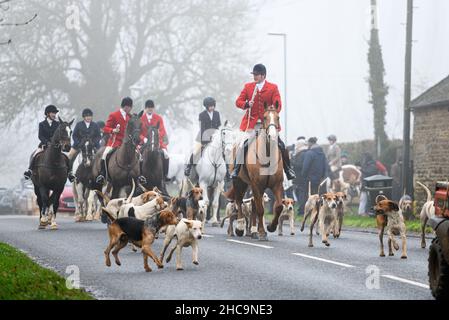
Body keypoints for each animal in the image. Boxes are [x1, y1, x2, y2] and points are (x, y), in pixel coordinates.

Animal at [229, 104, 282, 241]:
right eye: (265, 117)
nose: (272, 136)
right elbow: (260, 210)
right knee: (239, 201)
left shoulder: (277, 185)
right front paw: (262, 232)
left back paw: (253, 231)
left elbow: (278, 206)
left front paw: (270, 227)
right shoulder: (256, 184)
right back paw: (240, 227)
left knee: (252, 204)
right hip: (239, 181)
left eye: (278, 117)